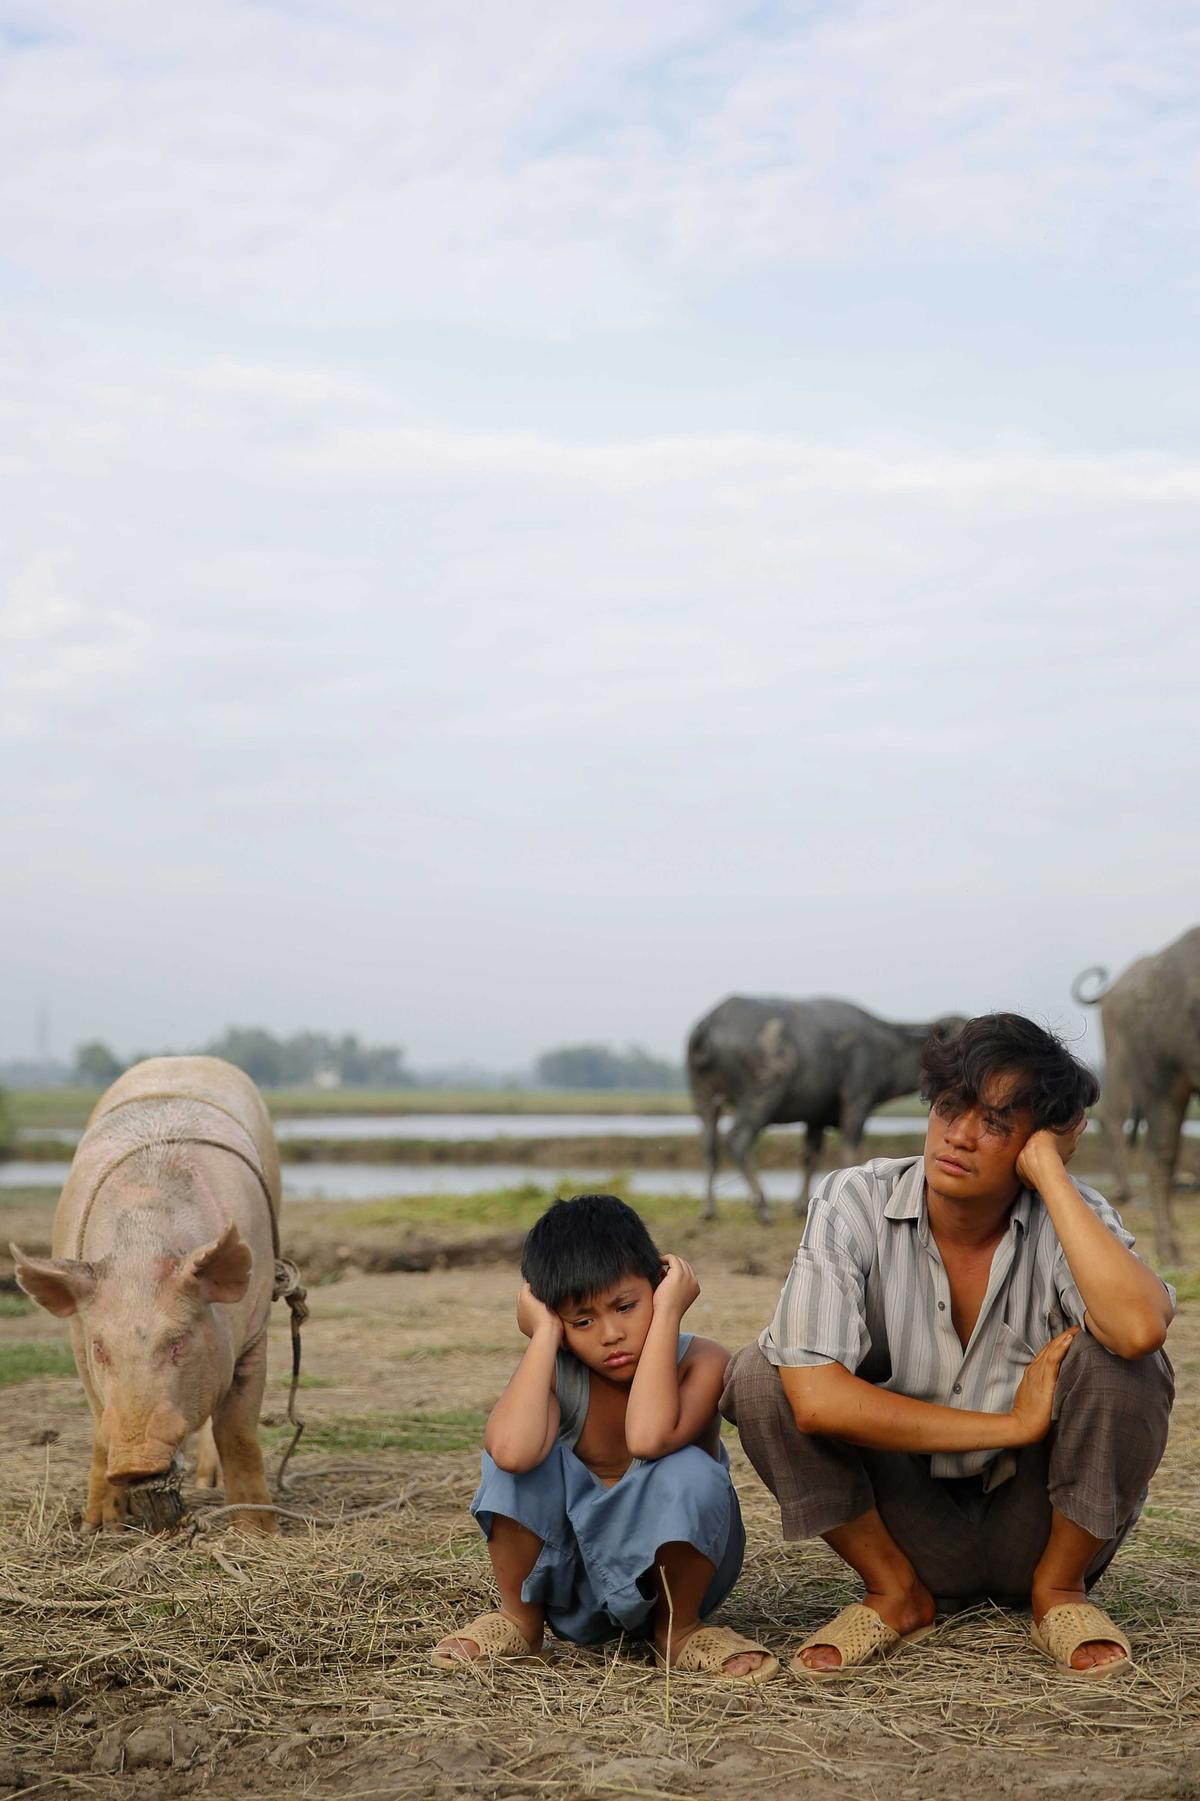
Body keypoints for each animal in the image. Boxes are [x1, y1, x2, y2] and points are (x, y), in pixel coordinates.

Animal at [13, 1051, 282, 1534]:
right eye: (102, 1348)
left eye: (179, 1340)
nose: (134, 1462)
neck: (140, 1247)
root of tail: (183, 1057)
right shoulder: (78, 1340)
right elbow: (99, 1423)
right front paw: (100, 1526)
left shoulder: (255, 1330)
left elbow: (237, 1431)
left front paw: (259, 1531)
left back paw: (208, 1481)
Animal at [688, 1001, 958, 1224]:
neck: (884, 1050)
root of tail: (709, 1025)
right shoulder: (857, 1103)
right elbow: (850, 1150)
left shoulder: (815, 1117)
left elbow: (810, 1156)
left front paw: (800, 1205)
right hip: (761, 1097)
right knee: (737, 1140)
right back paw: (763, 1208)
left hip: (704, 1100)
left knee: (709, 1149)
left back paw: (708, 1209)